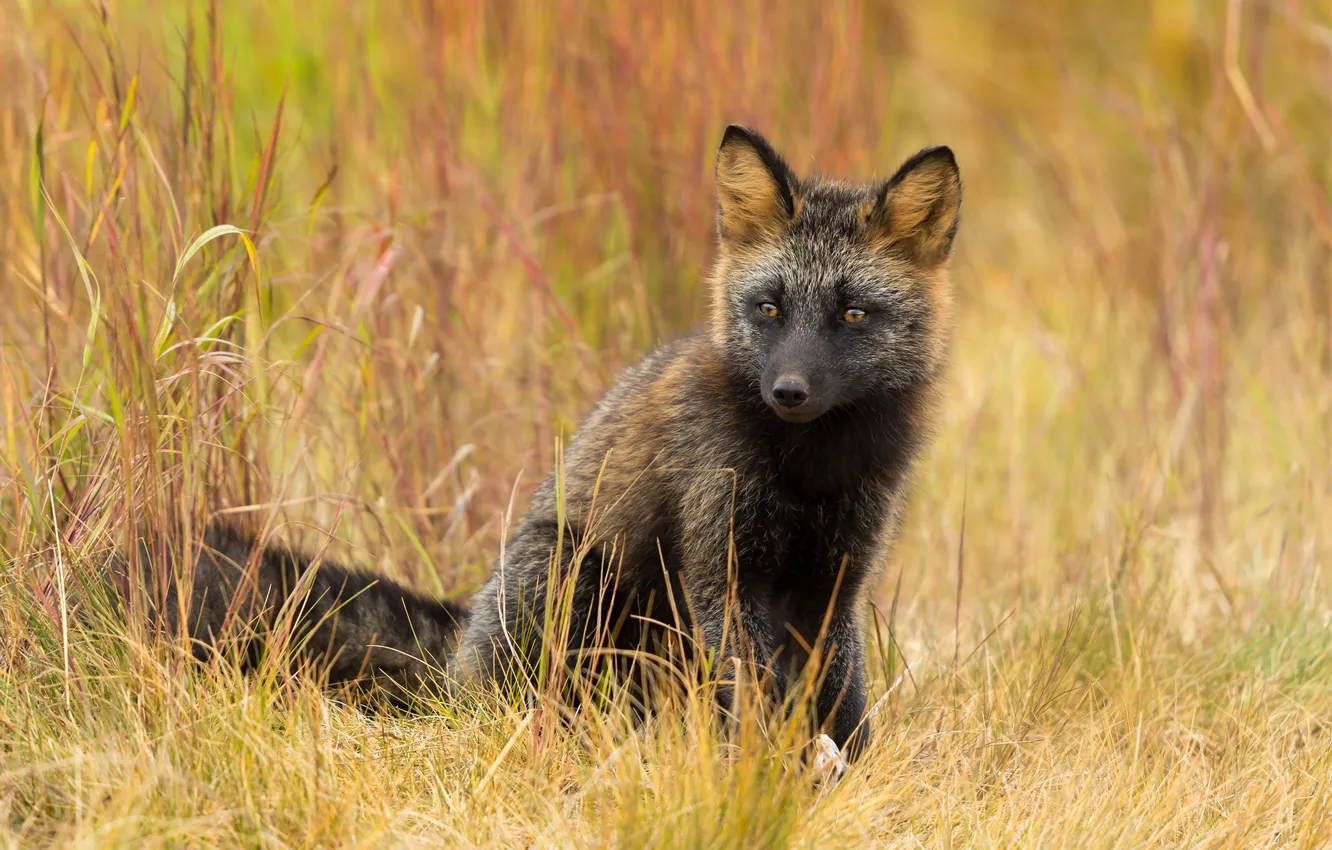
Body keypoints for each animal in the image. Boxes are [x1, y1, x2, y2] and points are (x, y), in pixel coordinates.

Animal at [122, 125, 961, 759]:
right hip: (575, 577)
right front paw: (770, 773)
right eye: (770, 308)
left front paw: (847, 778)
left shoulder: (836, 579)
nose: (788, 391)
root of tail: (458, 652)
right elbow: (756, 696)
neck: (810, 475)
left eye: (852, 314)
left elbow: (843, 702)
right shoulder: (722, 570)